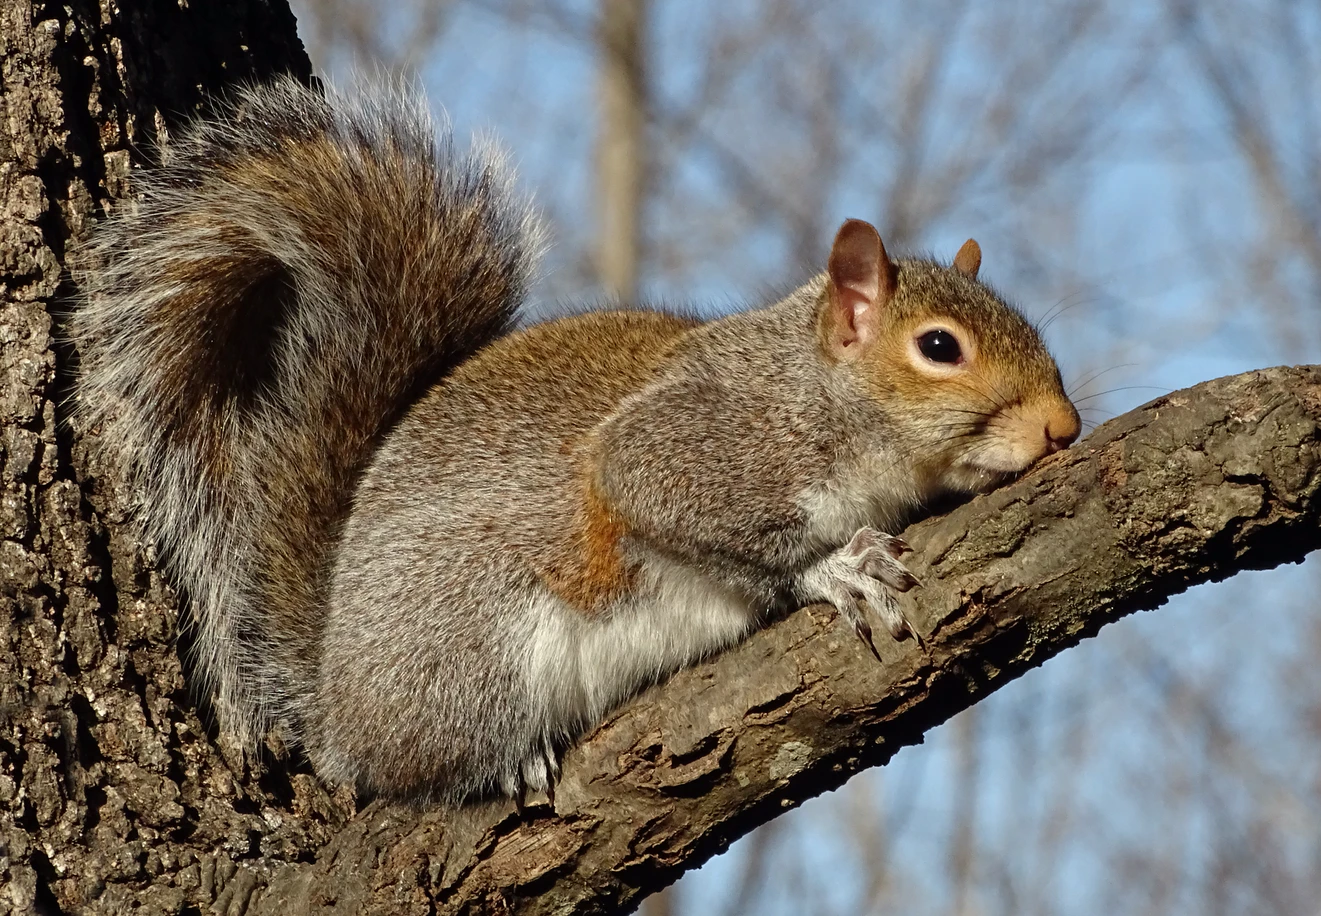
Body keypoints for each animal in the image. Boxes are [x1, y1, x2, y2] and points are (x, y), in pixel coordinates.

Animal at [72, 80, 1077, 808]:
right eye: (939, 348)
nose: (1061, 428)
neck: (814, 390)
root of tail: (335, 705)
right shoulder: (696, 445)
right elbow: (696, 515)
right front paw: (837, 568)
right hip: (474, 651)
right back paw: (495, 763)